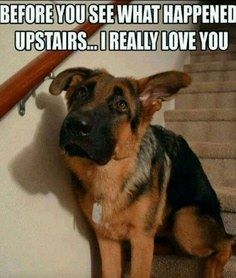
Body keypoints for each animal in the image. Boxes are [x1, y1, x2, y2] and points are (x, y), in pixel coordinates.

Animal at [48, 68, 235, 278]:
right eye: (81, 92)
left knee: (227, 242)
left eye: (121, 105)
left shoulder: (141, 238)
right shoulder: (107, 239)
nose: (75, 124)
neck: (108, 173)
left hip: (184, 222)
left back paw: (212, 269)